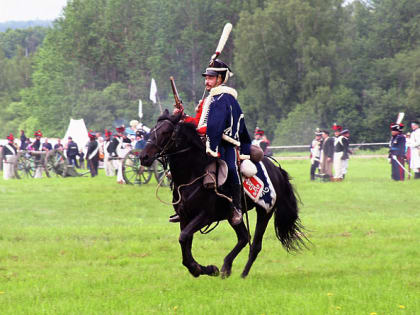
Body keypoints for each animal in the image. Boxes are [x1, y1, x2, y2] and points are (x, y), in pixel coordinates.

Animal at [141, 110, 306, 278]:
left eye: (166, 132)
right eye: (152, 130)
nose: (144, 157)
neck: (193, 175)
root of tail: (277, 170)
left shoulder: (205, 216)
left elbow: (183, 237)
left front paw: (201, 268)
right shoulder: (185, 216)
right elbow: (185, 242)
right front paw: (204, 269)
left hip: (265, 211)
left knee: (255, 245)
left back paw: (243, 275)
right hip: (232, 216)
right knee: (244, 238)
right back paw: (226, 267)